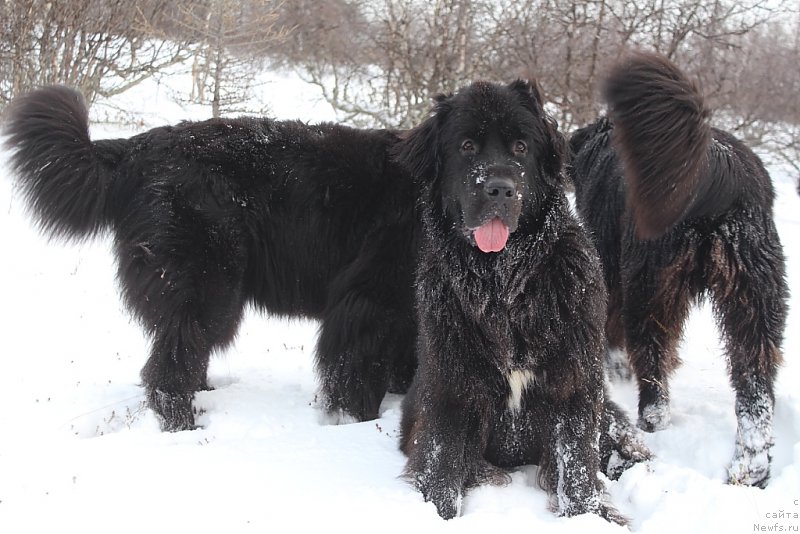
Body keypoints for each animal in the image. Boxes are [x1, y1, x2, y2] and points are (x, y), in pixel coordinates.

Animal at [3, 86, 418, 434]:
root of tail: (136, 148)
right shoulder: (369, 301)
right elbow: (360, 367)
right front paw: (357, 422)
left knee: (188, 351)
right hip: (207, 285)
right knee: (170, 366)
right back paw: (184, 425)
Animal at [394, 81, 648, 524]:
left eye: (520, 147)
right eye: (466, 146)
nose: (498, 188)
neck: (505, 283)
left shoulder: (573, 381)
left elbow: (577, 464)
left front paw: (589, 516)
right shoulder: (450, 385)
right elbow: (441, 462)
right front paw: (436, 512)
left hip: (607, 411)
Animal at [568, 51, 788, 490]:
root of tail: (717, 170)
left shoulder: (610, 263)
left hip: (651, 286)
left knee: (653, 361)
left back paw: (652, 420)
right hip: (756, 299)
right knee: (755, 391)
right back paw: (751, 468)